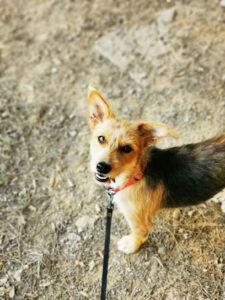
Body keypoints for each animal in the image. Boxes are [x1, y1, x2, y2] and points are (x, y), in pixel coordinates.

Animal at [88, 85, 225, 254]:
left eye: (127, 148)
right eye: (101, 139)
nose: (102, 166)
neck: (135, 174)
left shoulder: (140, 222)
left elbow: (138, 234)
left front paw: (130, 245)